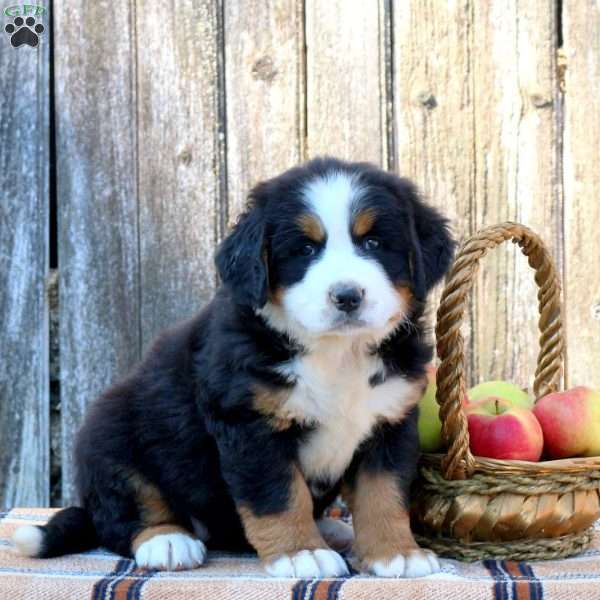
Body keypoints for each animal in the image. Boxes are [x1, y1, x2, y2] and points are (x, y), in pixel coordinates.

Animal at [12, 157, 454, 580]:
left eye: (374, 242)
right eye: (305, 250)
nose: (347, 296)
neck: (337, 353)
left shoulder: (390, 421)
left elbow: (384, 494)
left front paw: (395, 554)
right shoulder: (250, 424)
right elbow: (280, 494)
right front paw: (301, 554)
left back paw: (330, 529)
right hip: (110, 430)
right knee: (123, 513)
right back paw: (168, 540)